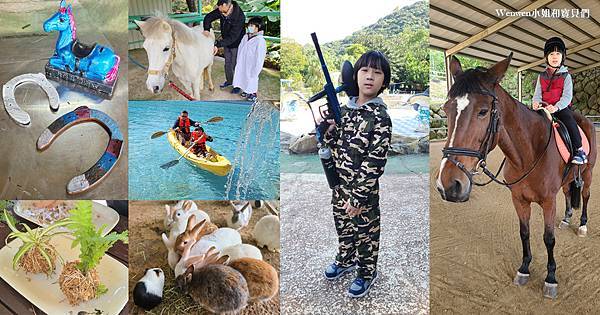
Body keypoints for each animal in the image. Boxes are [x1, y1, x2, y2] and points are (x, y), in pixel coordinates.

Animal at [436, 53, 596, 300]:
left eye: (483, 111)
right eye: (446, 109)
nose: (448, 185)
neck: (529, 154)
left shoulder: (548, 201)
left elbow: (548, 239)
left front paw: (551, 278)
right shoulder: (519, 200)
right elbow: (524, 233)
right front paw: (524, 269)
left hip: (587, 175)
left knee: (585, 196)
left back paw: (582, 225)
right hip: (568, 180)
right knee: (569, 193)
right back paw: (567, 218)